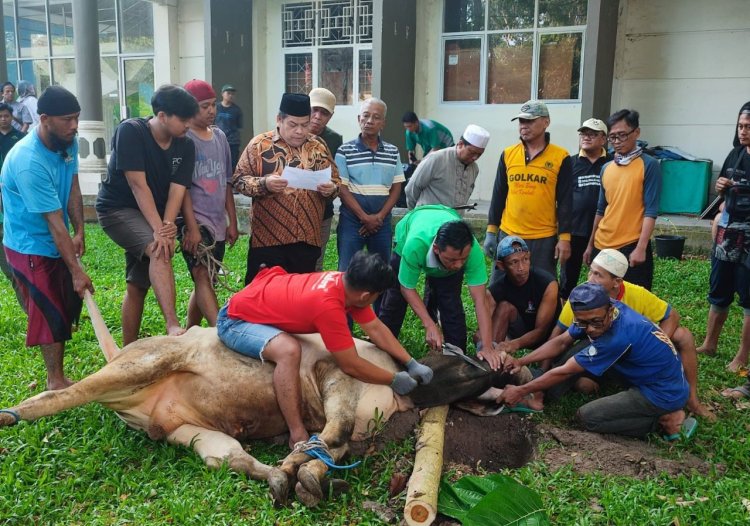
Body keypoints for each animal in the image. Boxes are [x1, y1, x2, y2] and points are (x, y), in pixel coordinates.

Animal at [0, 306, 528, 512]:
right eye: (462, 356)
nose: (501, 375)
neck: (401, 396)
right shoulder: (333, 374)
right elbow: (332, 432)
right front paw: (303, 467)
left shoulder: (357, 430)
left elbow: (331, 446)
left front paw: (305, 473)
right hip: (140, 366)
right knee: (63, 395)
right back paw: (12, 414)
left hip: (179, 427)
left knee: (226, 455)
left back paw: (274, 476)